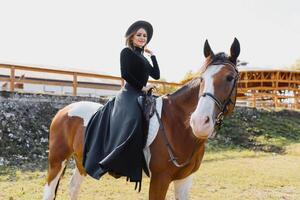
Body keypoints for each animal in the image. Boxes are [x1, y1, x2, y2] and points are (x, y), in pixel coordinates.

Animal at [42, 38, 240, 199]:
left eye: (230, 78)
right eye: (201, 79)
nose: (199, 122)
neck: (176, 125)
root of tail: (64, 110)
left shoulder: (185, 179)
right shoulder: (160, 179)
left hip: (81, 161)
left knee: (73, 187)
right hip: (57, 160)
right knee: (50, 191)